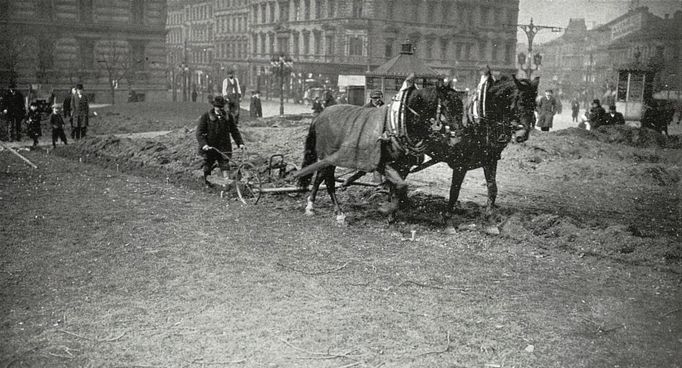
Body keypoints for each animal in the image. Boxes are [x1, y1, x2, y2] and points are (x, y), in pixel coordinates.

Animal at [292, 82, 462, 223]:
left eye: (461, 105)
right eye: (448, 105)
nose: (458, 137)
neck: (399, 122)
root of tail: (320, 115)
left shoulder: (403, 166)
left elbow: (397, 188)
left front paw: (392, 213)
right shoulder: (383, 164)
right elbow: (401, 186)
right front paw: (386, 209)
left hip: (327, 159)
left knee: (319, 176)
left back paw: (311, 206)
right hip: (329, 156)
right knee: (328, 180)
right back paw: (338, 212)